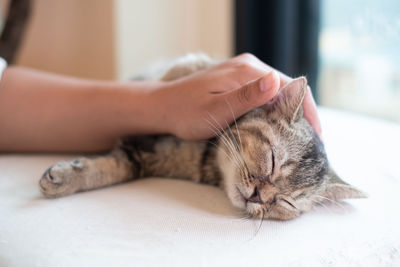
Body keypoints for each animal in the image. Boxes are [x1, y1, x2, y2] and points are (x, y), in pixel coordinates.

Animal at [38, 54, 366, 220]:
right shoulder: (193, 67)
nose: (260, 196)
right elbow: (174, 77)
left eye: (286, 203)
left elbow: (115, 168)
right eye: (272, 161)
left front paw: (66, 178)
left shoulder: (142, 158)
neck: (205, 161)